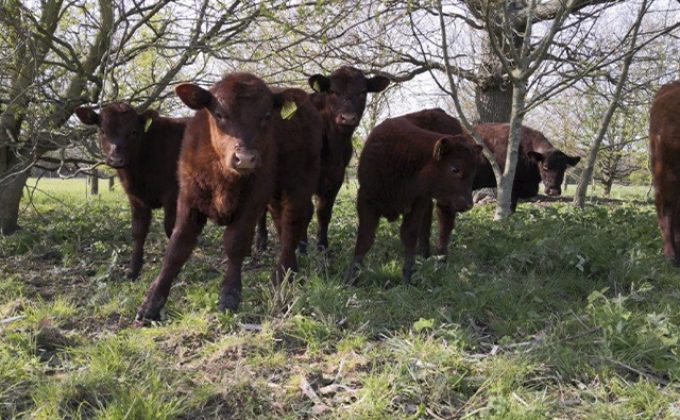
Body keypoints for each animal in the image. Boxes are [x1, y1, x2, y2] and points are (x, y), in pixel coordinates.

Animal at [75, 102, 186, 278]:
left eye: (134, 131)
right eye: (102, 131)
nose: (116, 159)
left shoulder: (173, 196)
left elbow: (171, 229)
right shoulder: (136, 199)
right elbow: (138, 232)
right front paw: (133, 269)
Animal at [136, 73, 310, 322]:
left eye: (267, 116)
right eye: (219, 114)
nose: (245, 158)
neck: (223, 178)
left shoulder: (252, 201)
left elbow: (236, 242)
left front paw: (229, 297)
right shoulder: (188, 199)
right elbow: (176, 248)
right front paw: (151, 304)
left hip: (298, 185)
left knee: (292, 226)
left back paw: (281, 276)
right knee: (282, 223)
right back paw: (292, 272)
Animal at [346, 116, 484, 284]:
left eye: (474, 171)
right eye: (455, 169)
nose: (468, 204)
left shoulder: (417, 202)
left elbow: (409, 235)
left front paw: (407, 277)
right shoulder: (366, 199)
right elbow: (364, 238)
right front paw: (351, 278)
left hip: (445, 202)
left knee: (445, 226)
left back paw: (441, 262)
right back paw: (425, 255)